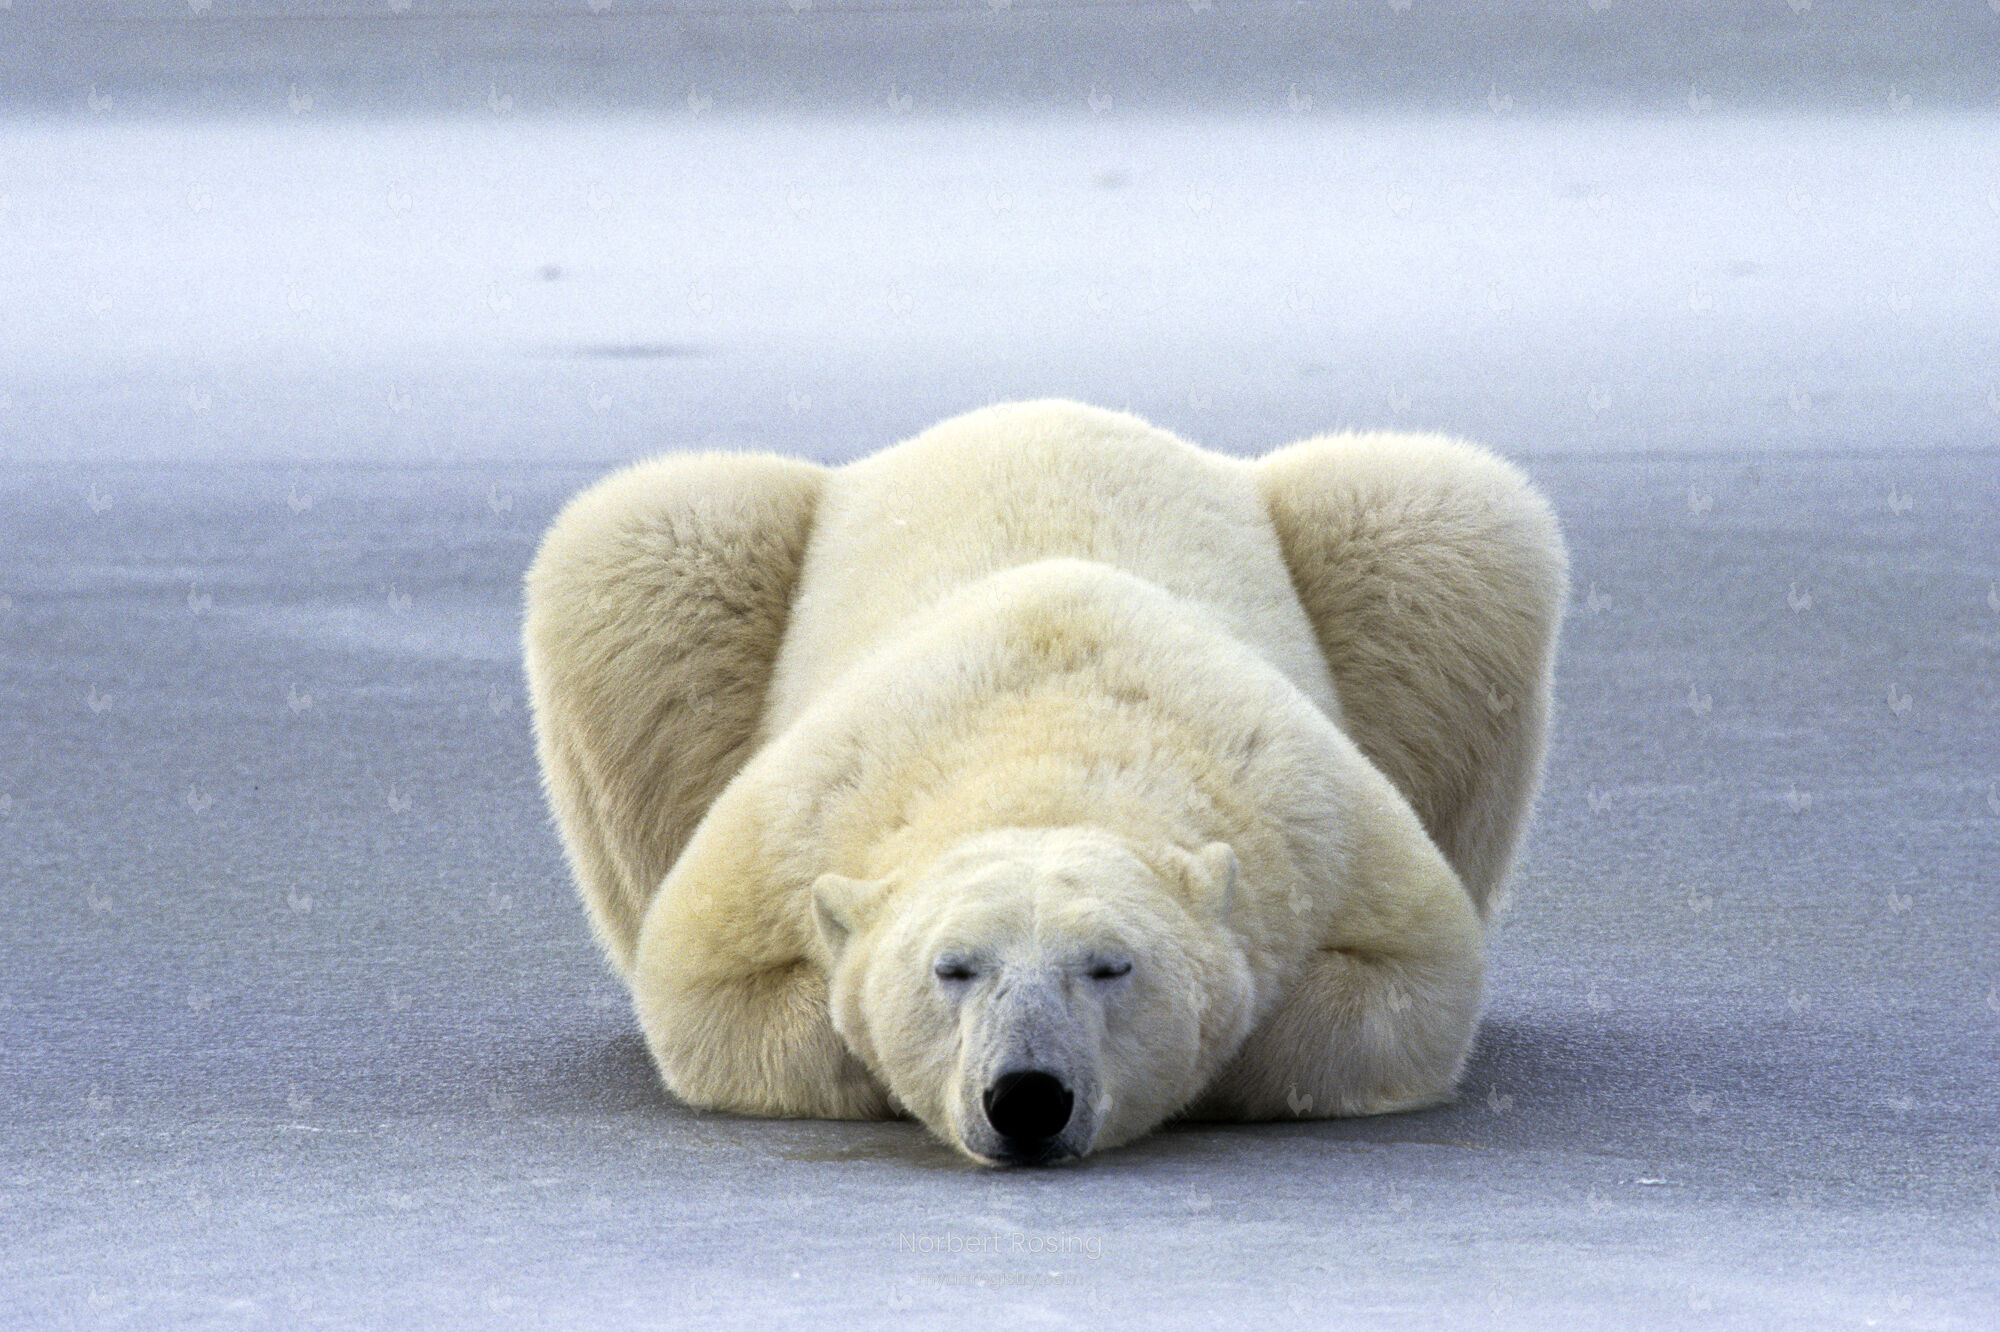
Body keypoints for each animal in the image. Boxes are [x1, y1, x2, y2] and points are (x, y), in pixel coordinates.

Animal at [522, 399, 1566, 1165]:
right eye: (953, 967)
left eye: (1110, 965)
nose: (1027, 1097)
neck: (1043, 749)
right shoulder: (794, 825)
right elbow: (707, 993)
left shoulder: (1311, 819)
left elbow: (1413, 979)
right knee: (647, 540)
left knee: (1444, 524)